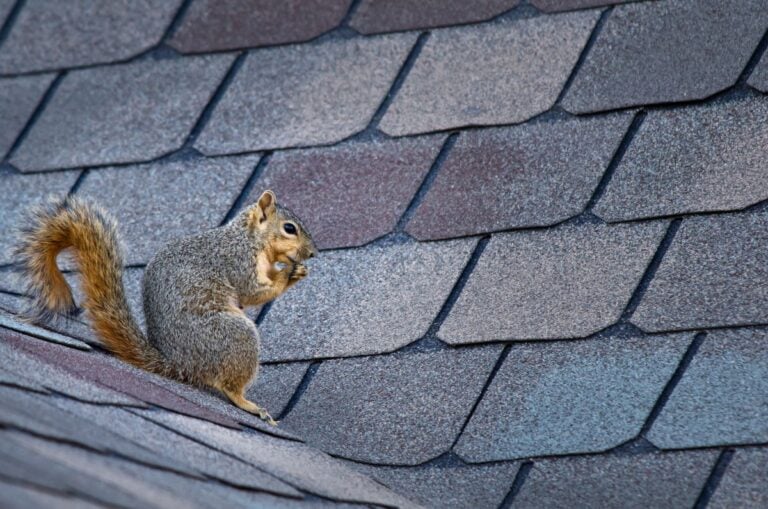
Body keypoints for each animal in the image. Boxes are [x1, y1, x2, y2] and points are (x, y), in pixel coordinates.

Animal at [15, 190, 316, 425]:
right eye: (290, 228)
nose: (312, 253)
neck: (250, 238)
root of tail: (179, 364)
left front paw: (296, 270)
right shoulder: (237, 262)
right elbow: (253, 291)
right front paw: (288, 274)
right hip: (234, 335)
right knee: (228, 385)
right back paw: (248, 404)